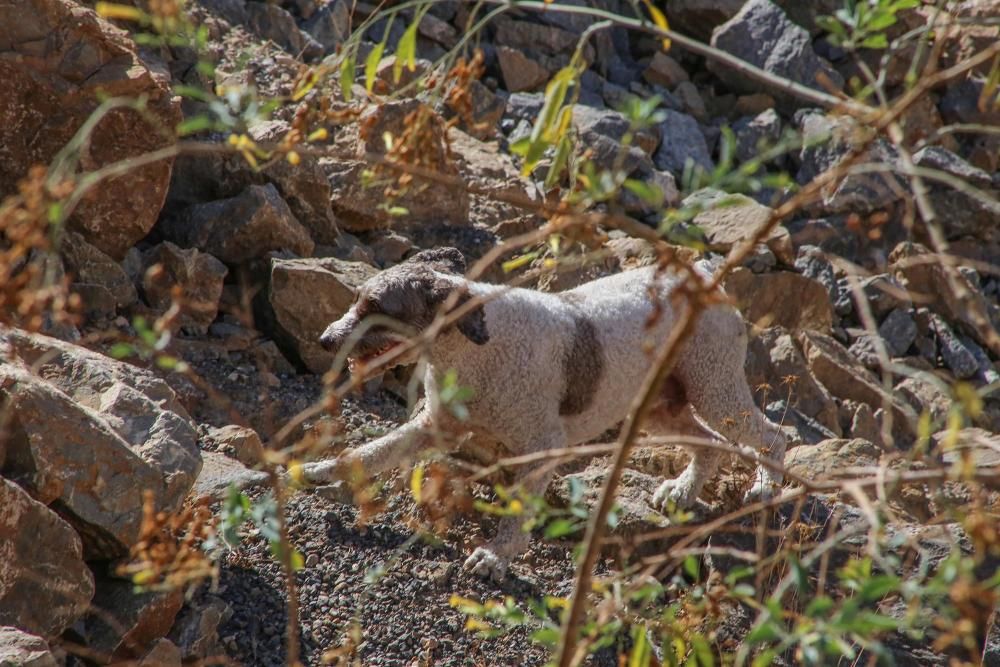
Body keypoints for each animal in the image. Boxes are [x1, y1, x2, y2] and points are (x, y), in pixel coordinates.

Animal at [300, 248, 784, 580]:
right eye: (357, 301)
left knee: (772, 435)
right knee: (713, 444)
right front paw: (316, 471)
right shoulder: (433, 427)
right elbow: (370, 453)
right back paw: (682, 492)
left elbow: (517, 512)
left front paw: (495, 555)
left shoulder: (542, 447)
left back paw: (764, 487)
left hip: (713, 385)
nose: (325, 339)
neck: (476, 344)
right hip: (660, 407)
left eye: (376, 308)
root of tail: (705, 273)